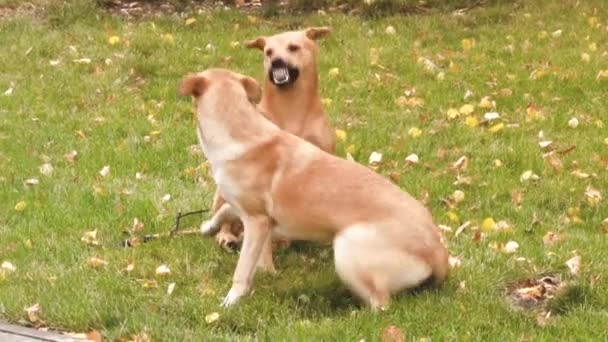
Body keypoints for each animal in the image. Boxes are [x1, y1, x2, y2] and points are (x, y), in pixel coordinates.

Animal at [178, 69, 448, 310]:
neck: (239, 129)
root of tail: (438, 253)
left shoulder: (257, 221)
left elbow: (242, 270)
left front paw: (231, 301)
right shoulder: (250, 212)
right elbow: (225, 211)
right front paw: (208, 227)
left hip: (347, 247)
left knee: (380, 304)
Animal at [207, 26, 334, 272]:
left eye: (293, 47)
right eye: (268, 52)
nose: (276, 62)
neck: (293, 109)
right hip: (222, 195)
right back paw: (228, 237)